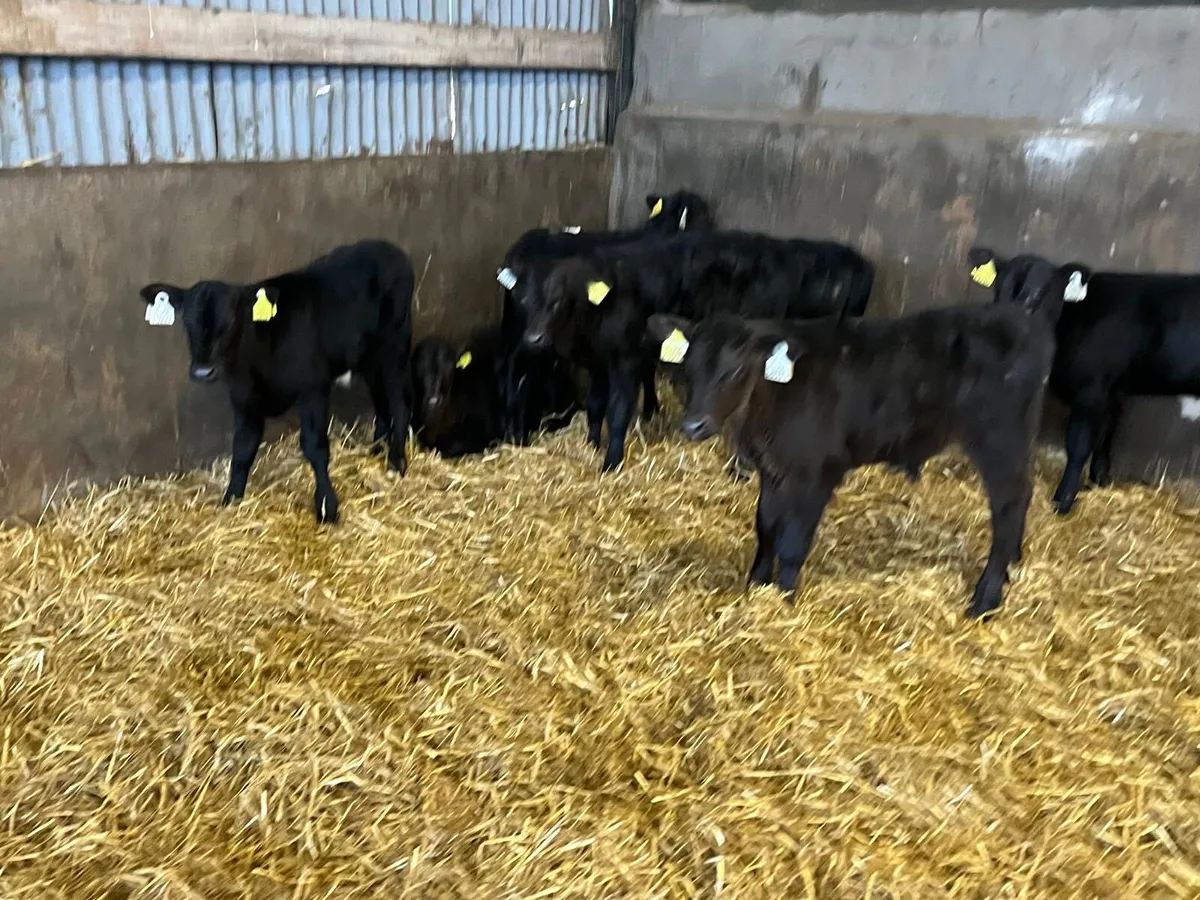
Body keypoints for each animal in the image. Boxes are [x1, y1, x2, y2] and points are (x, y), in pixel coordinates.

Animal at [139, 240, 414, 525]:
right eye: (187, 321)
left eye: (230, 322)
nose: (203, 371)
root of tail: (387, 247)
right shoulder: (243, 398)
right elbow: (242, 448)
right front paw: (231, 499)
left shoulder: (313, 389)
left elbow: (315, 446)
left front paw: (327, 507)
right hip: (368, 356)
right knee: (380, 400)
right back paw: (377, 449)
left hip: (394, 344)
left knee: (399, 401)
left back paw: (396, 461)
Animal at [518, 231, 875, 472]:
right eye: (524, 298)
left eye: (560, 300)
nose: (533, 337)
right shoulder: (597, 362)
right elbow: (594, 406)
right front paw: (591, 445)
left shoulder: (626, 359)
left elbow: (617, 412)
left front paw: (611, 463)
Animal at [647, 304, 1054, 619]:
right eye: (687, 367)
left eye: (732, 371)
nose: (693, 425)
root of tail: (1021, 320)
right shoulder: (773, 470)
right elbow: (765, 527)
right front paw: (756, 584)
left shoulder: (815, 475)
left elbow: (792, 542)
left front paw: (785, 599)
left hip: (1000, 441)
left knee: (1010, 506)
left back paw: (985, 599)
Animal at [967, 246, 1200, 516]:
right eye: (998, 290)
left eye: (1039, 294)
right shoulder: (1114, 388)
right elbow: (1107, 432)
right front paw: (1100, 479)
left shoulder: (1091, 391)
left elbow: (1079, 446)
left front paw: (1063, 500)